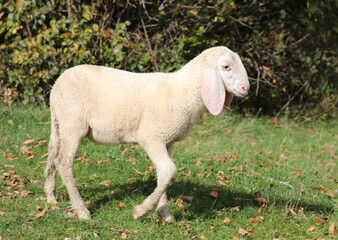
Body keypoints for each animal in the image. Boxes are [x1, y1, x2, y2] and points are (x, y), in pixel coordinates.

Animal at [43, 46, 250, 221]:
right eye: (226, 66)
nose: (246, 88)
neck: (182, 92)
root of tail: (57, 83)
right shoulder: (151, 137)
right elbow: (170, 171)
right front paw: (141, 211)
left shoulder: (167, 141)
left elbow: (163, 174)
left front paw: (164, 213)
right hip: (73, 124)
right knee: (64, 163)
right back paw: (81, 210)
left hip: (60, 123)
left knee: (52, 154)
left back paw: (51, 196)